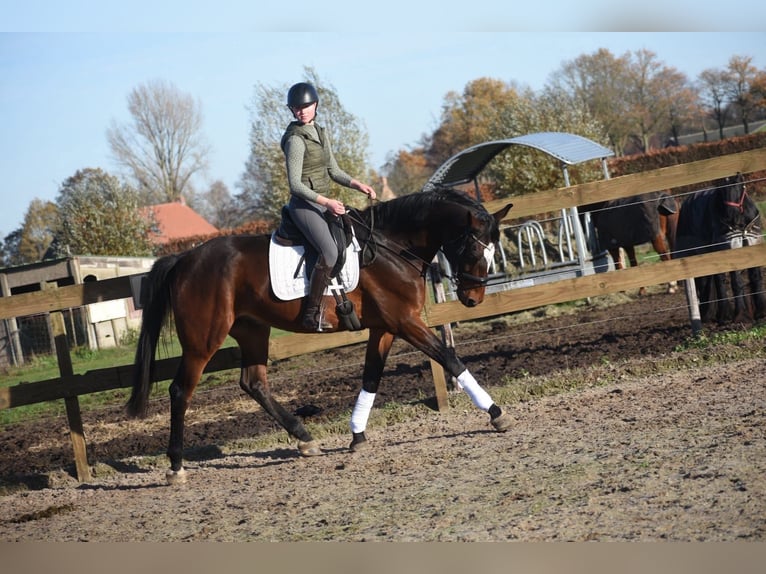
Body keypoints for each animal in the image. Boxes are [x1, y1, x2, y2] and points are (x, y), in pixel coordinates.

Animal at [127, 188, 514, 484]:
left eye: (493, 251)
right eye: (474, 250)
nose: (473, 299)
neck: (392, 247)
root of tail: (184, 259)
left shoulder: (385, 327)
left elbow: (371, 377)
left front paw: (357, 435)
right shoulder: (405, 322)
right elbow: (450, 359)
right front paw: (496, 413)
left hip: (253, 330)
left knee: (254, 383)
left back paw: (304, 439)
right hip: (203, 340)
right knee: (181, 391)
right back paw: (176, 467)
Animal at [675, 173, 766, 324]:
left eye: (739, 186)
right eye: (721, 189)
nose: (731, 217)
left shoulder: (752, 245)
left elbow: (756, 278)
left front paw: (760, 312)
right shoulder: (730, 249)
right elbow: (735, 282)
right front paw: (741, 315)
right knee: (713, 281)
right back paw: (718, 315)